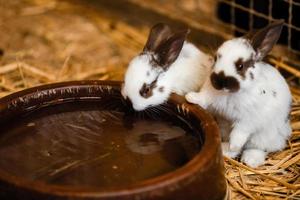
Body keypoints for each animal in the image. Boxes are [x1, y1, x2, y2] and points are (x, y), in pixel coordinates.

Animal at [186, 20, 292, 167]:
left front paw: (234, 144)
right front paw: (190, 97)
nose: (219, 81)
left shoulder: (248, 120)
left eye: (240, 66)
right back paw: (225, 150)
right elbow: (203, 99)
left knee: (259, 148)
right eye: (216, 58)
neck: (229, 94)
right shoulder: (209, 96)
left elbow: (240, 132)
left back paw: (250, 159)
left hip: (264, 137)